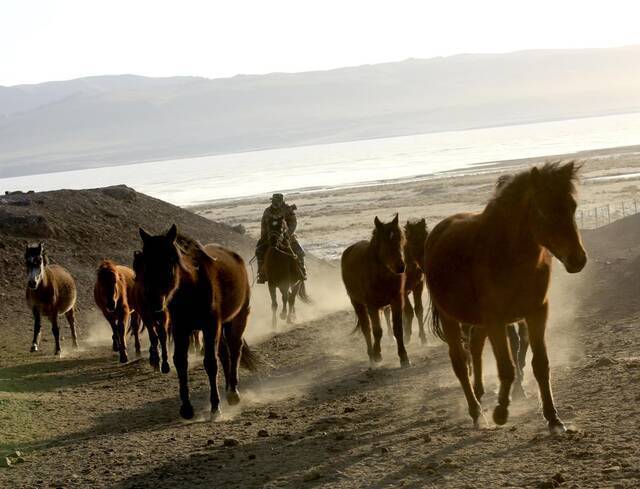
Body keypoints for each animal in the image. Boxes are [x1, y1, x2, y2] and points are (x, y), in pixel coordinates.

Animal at [136, 223, 258, 418]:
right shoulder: (181, 329)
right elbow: (180, 361)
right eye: (146, 263)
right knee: (224, 352)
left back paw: (233, 392)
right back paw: (227, 388)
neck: (191, 288)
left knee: (234, 349)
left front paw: (215, 407)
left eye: (170, 261)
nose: (153, 301)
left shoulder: (210, 327)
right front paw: (186, 408)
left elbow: (210, 363)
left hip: (237, 318)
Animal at [342, 214, 408, 366]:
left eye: (400, 240)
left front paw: (404, 357)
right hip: (357, 303)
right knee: (366, 328)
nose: (401, 267)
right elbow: (377, 331)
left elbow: (398, 329)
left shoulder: (396, 301)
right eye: (385, 242)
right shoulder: (372, 305)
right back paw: (371, 355)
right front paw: (377, 355)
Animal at [428, 162, 588, 432]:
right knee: (460, 362)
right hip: (451, 319)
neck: (510, 256)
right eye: (542, 210)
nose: (577, 259)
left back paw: (480, 394)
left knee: (475, 346)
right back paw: (477, 412)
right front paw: (501, 412)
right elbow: (507, 367)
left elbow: (540, 364)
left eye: (572, 206)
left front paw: (553, 418)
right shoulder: (496, 320)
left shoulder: (536, 313)